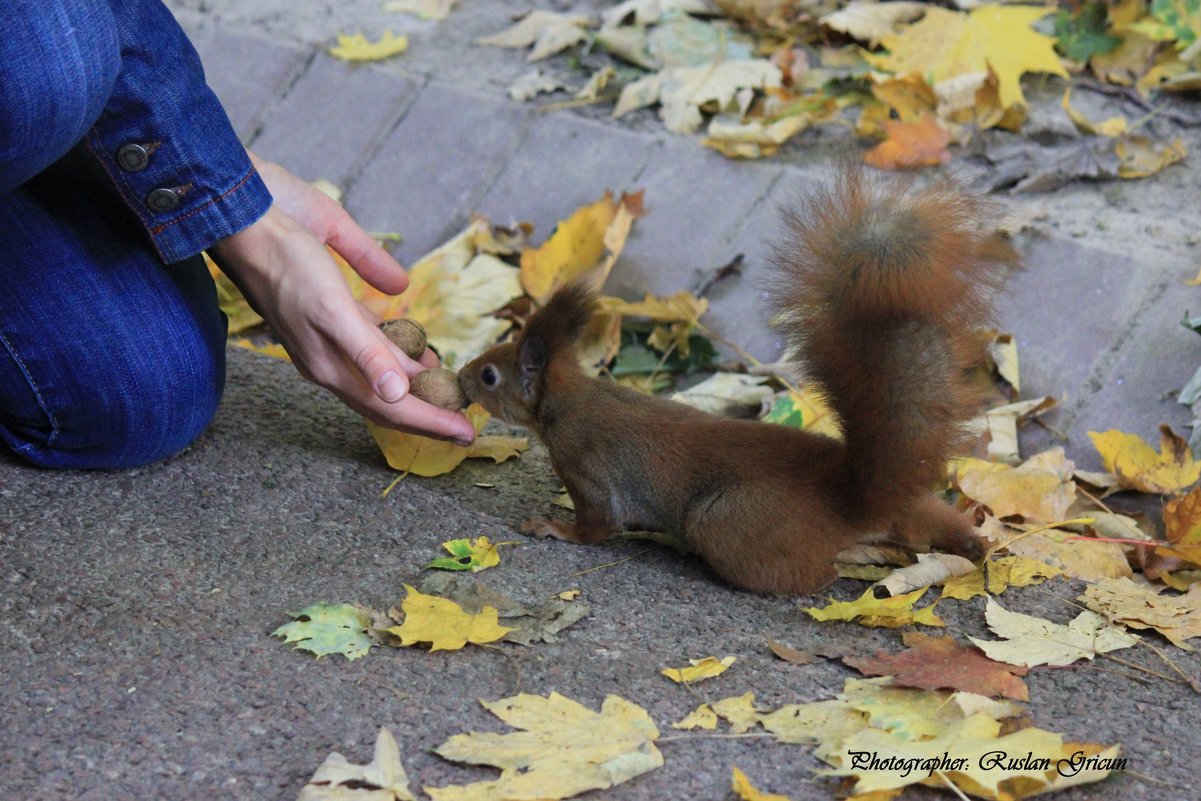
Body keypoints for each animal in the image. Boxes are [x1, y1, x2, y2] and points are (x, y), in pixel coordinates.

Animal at [453, 169, 1018, 595]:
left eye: (490, 374)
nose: (459, 378)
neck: (569, 399)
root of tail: (848, 499)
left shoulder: (586, 463)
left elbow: (597, 523)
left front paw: (553, 529)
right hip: (914, 508)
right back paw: (962, 542)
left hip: (729, 520)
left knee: (810, 574)